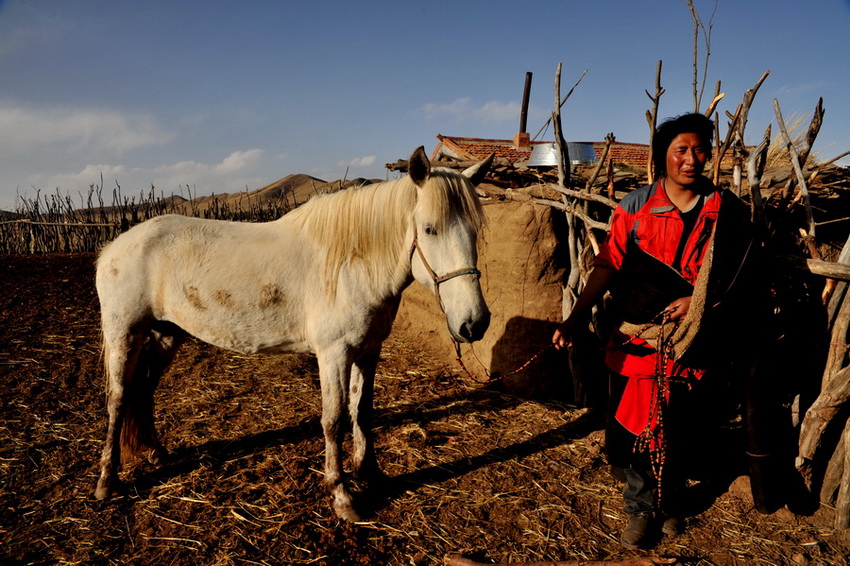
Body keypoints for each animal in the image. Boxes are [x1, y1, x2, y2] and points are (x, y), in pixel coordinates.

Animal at [93, 148, 490, 524]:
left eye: (475, 230)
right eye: (430, 229)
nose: (475, 323)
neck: (350, 263)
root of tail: (114, 246)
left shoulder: (368, 351)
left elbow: (362, 412)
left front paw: (371, 474)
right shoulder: (334, 354)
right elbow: (334, 420)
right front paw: (342, 495)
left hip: (165, 335)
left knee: (143, 391)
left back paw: (156, 453)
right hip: (124, 333)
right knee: (118, 399)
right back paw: (107, 481)